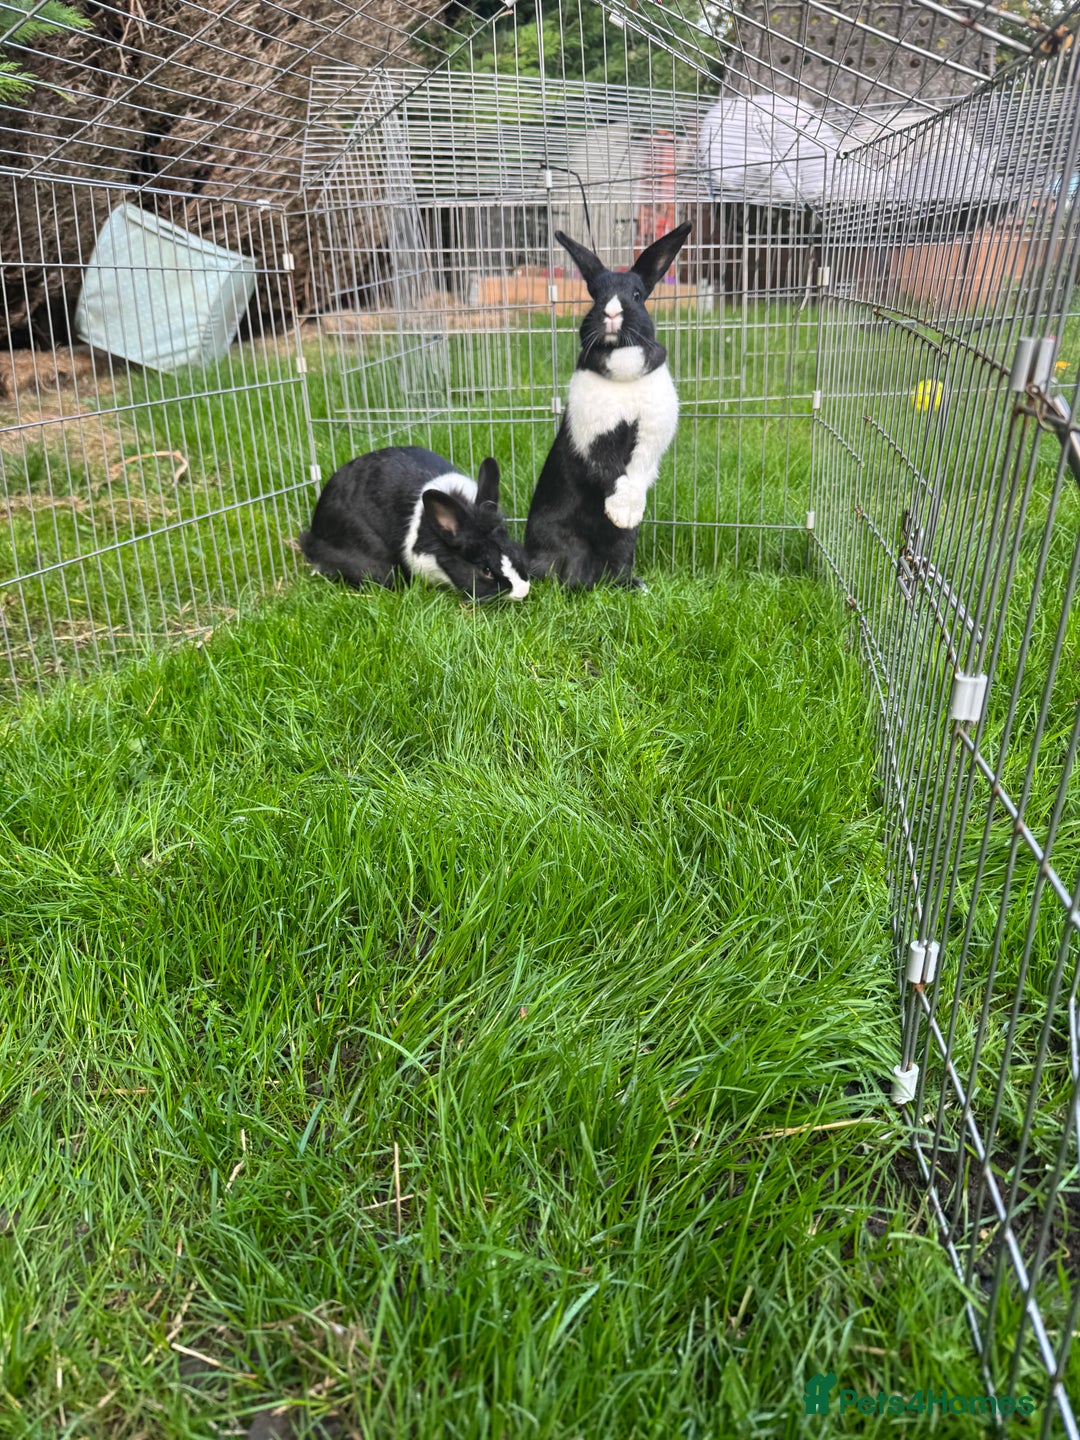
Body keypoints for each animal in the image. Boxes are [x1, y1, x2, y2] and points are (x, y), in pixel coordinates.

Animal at [525, 222, 692, 590]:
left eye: (637, 295)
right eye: (595, 296)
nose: (611, 312)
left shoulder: (650, 438)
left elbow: (637, 470)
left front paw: (626, 514)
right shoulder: (593, 436)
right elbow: (610, 472)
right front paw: (620, 511)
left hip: (624, 546)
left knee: (617, 564)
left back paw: (631, 585)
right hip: (557, 544)